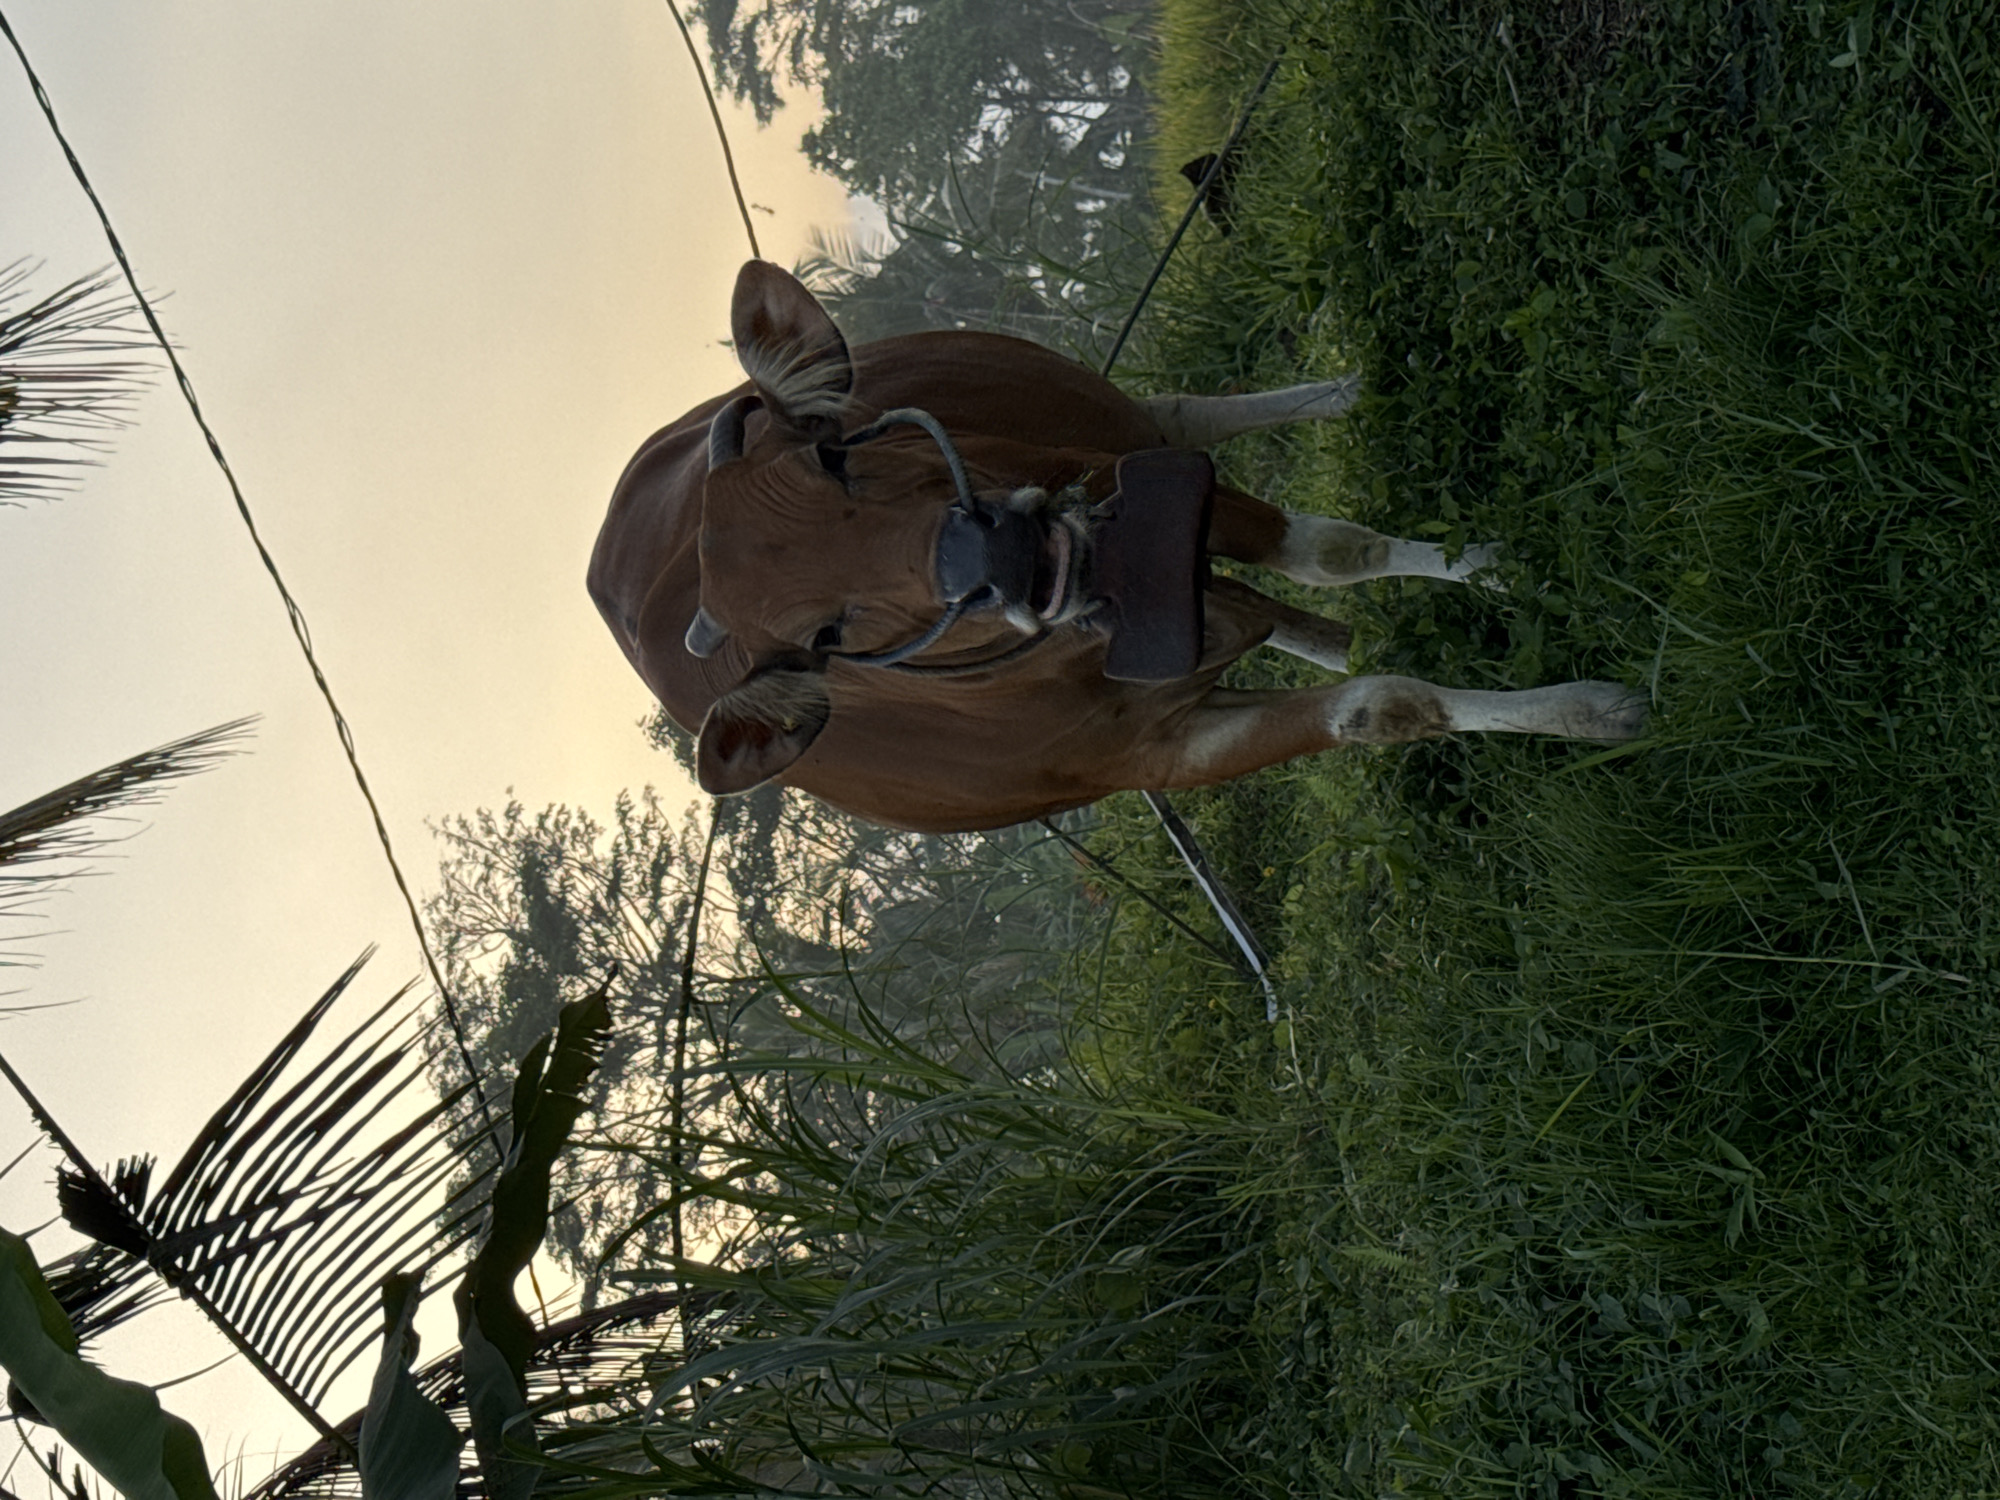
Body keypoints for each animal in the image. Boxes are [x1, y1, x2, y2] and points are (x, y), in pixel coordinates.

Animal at [589, 261, 1644, 834]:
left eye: (835, 453)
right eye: (823, 640)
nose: (998, 558)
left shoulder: (1141, 481)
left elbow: (1334, 553)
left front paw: (1504, 578)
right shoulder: (1159, 754)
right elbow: (1380, 706)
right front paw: (1591, 709)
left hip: (1116, 415)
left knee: (1190, 415)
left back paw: (1352, 389)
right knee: (1279, 619)